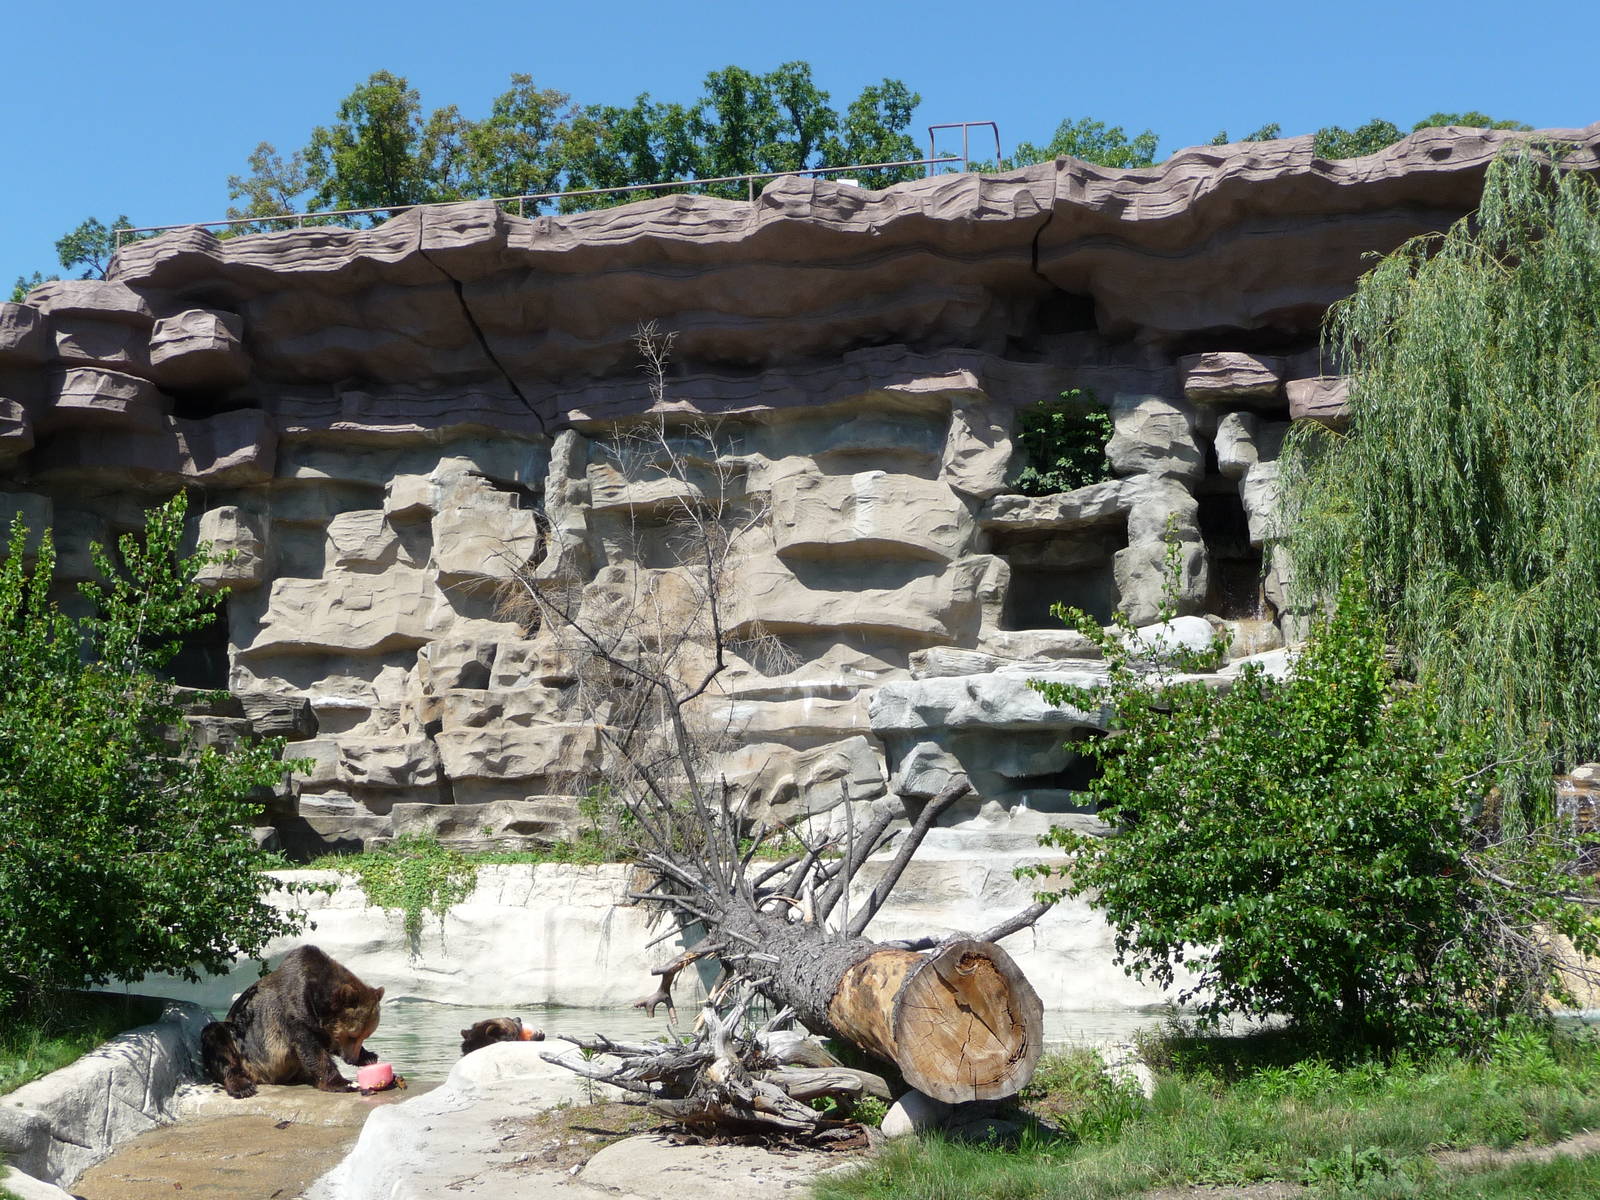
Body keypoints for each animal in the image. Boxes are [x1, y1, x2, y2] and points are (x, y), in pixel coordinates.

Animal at [201, 945, 384, 1098]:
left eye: (365, 1036)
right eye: (352, 1035)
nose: (352, 1059)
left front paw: (369, 1056)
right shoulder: (294, 1011)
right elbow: (311, 1048)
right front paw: (343, 1083)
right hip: (242, 1044)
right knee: (216, 1037)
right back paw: (242, 1087)